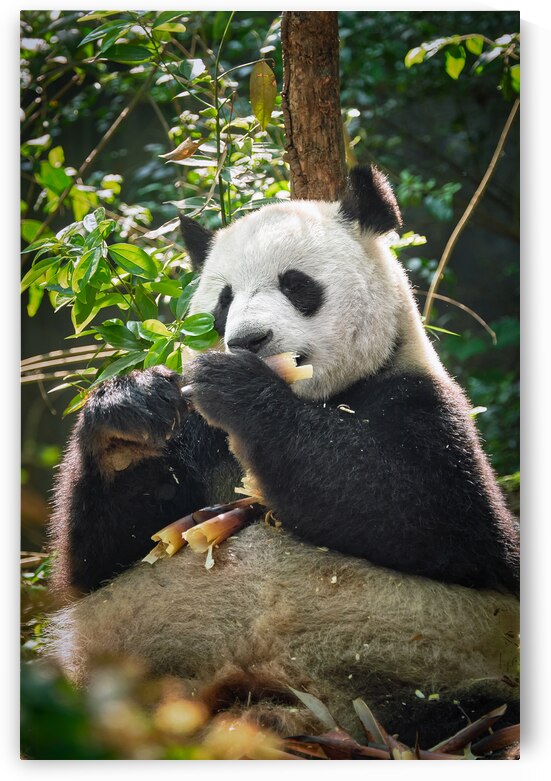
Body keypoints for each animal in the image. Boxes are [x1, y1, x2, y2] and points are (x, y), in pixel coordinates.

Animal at [45, 165, 520, 748]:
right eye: (224, 300)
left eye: (296, 284)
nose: (248, 340)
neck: (314, 396)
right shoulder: (196, 436)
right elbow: (100, 562)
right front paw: (128, 410)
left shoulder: (421, 406)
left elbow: (430, 516)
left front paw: (240, 389)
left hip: (434, 669)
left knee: (458, 710)